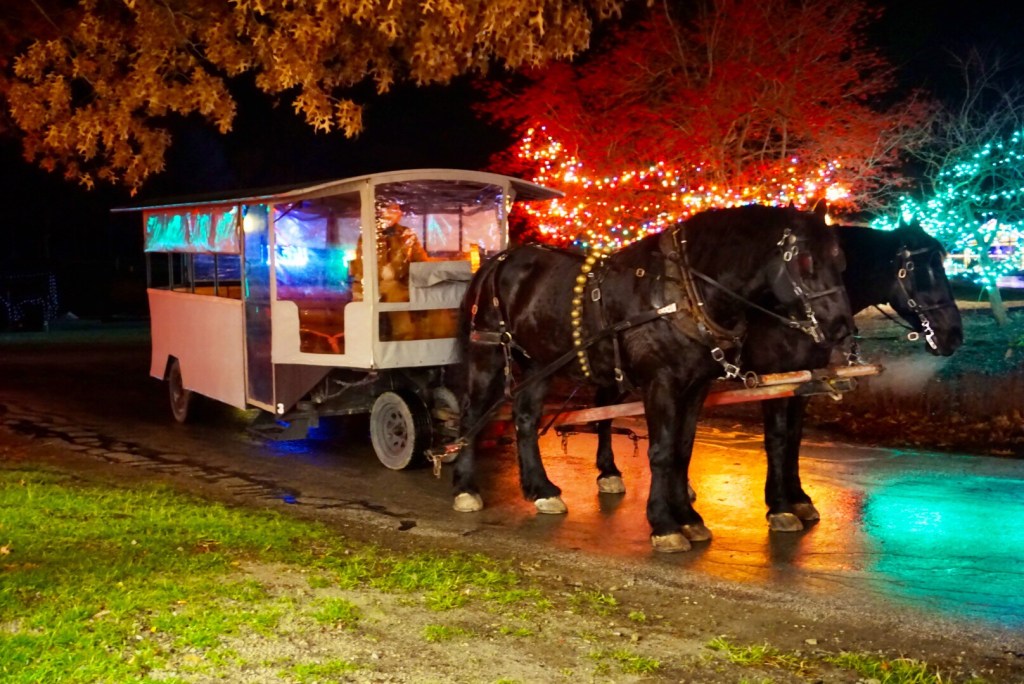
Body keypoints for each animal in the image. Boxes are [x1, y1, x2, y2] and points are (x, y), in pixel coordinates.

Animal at [450, 204, 854, 552]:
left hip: (538, 363)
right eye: (806, 260)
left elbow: (683, 450)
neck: (685, 293)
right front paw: (665, 523)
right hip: (488, 354)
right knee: (473, 416)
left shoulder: (697, 387)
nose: (841, 327)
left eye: (841, 260)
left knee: (526, 418)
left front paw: (689, 517)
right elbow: (664, 451)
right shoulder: (663, 384)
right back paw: (466, 487)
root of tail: (498, 261)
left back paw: (542, 488)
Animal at [591, 217, 964, 532]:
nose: (954, 335)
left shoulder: (803, 381)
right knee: (603, 412)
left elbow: (794, 439)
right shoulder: (773, 377)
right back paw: (609, 472)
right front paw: (780, 506)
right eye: (918, 269)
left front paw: (798, 498)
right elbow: (777, 438)